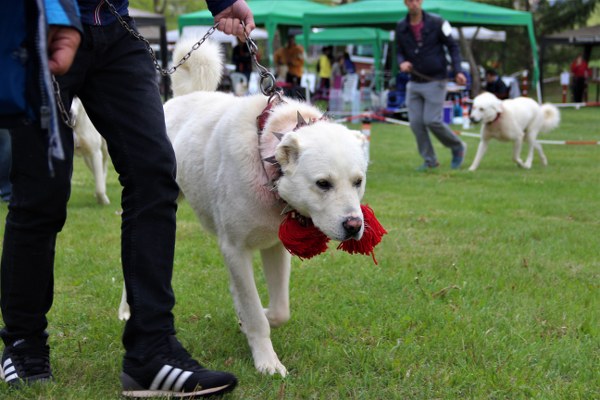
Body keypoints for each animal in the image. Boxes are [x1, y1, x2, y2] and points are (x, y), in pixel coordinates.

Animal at [119, 39, 368, 376]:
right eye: (323, 184)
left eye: (358, 182)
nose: (354, 226)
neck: (266, 164)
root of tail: (181, 96)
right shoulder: (234, 249)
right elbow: (255, 313)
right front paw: (267, 361)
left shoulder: (275, 248)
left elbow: (278, 310)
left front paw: (248, 318)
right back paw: (126, 310)